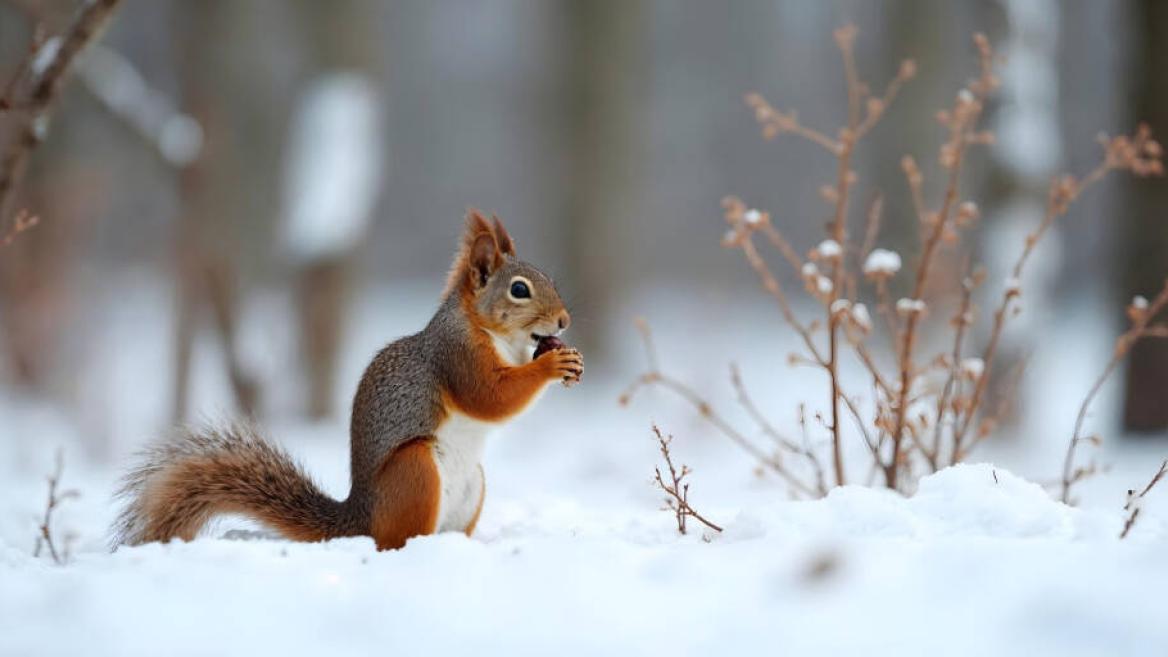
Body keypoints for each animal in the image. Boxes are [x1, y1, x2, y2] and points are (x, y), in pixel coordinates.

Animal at [113, 209, 579, 547]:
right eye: (519, 290)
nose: (564, 320)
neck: (498, 338)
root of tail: (359, 521)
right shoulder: (456, 356)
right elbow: (489, 396)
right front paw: (550, 366)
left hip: (472, 490)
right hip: (415, 472)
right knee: (395, 539)